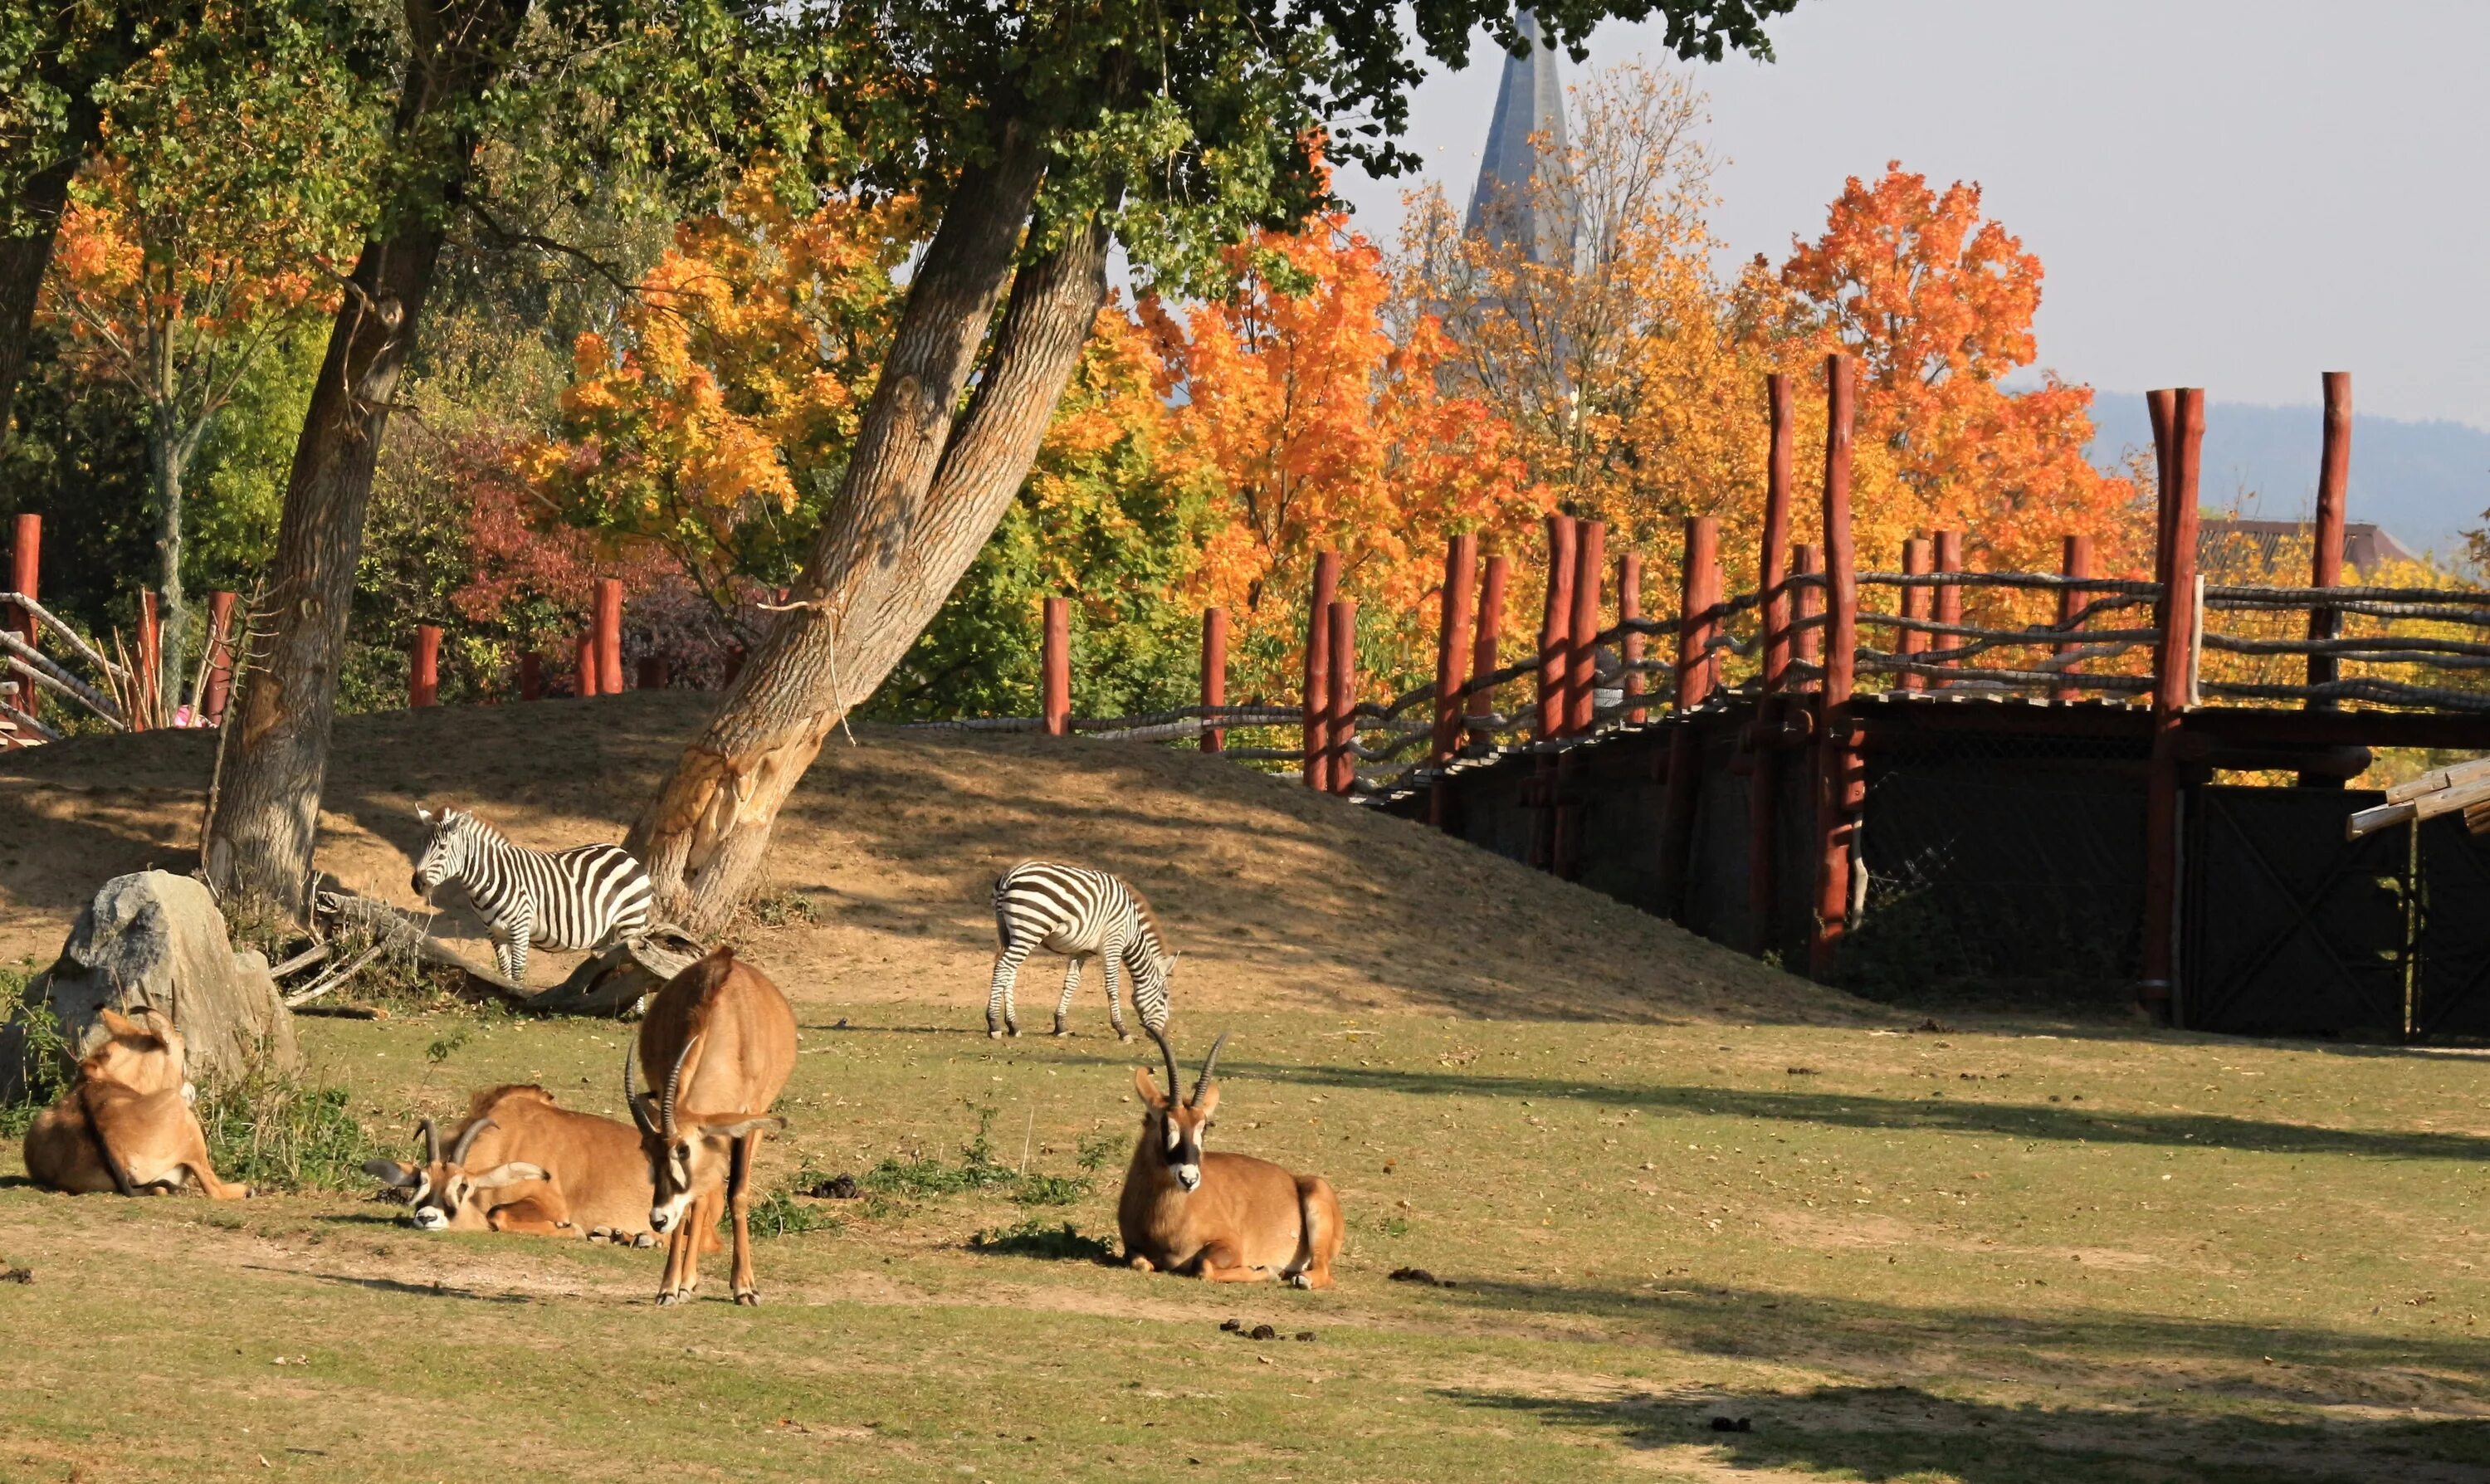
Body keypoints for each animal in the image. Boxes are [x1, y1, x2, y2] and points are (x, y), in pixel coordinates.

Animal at [361, 1086, 672, 1245]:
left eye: (463, 1186)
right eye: (420, 1182)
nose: (427, 1217)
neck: (508, 1139)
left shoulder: (550, 1202)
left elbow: (497, 1214)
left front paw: (572, 1229)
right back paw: (617, 1235)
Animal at [406, 807, 652, 981]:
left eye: (443, 848)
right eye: (422, 844)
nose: (417, 884)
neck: (490, 879)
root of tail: (624, 853)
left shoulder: (520, 927)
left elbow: (517, 970)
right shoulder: (493, 931)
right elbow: (505, 969)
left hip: (630, 922)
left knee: (633, 965)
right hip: (606, 933)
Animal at [632, 946, 797, 1305]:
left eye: (683, 1150)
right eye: (647, 1153)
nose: (657, 1219)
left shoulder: (749, 1119)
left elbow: (737, 1193)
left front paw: (745, 1287)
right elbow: (690, 1204)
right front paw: (669, 1287)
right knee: (701, 1198)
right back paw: (686, 1282)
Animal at [1120, 1031, 1345, 1285]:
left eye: (1204, 1127)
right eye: (1167, 1124)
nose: (1189, 1179)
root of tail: (1295, 1178)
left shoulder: (1232, 1246)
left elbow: (1203, 1266)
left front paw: (1266, 1270)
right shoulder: (1132, 1248)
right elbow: (1140, 1263)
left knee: (1324, 1272)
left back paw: (1301, 1278)